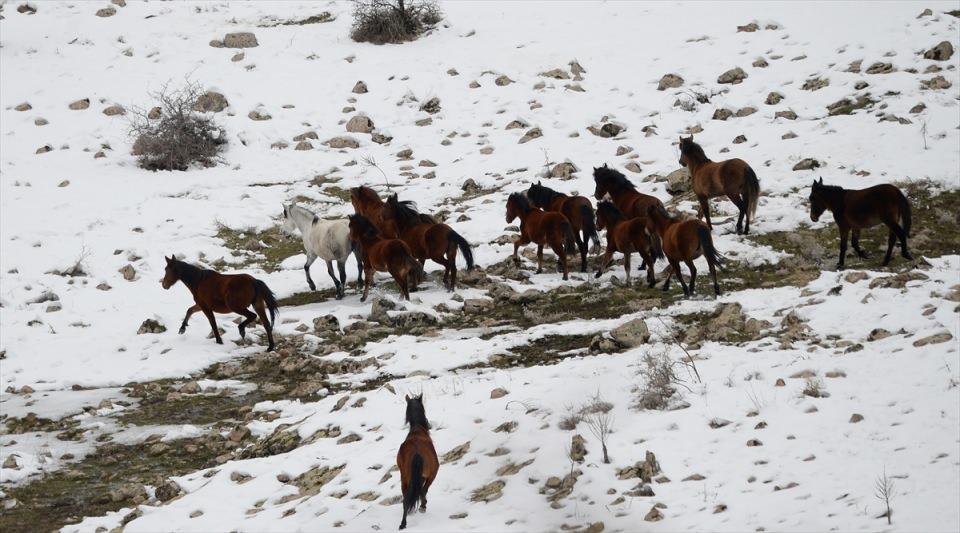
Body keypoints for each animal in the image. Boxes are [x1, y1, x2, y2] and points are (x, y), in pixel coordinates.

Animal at [396, 392, 440, 528]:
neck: (417, 429)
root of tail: (416, 453)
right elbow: (423, 490)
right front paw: (423, 506)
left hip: (406, 478)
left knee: (406, 498)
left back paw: (403, 523)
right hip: (429, 474)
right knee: (422, 490)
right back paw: (422, 507)